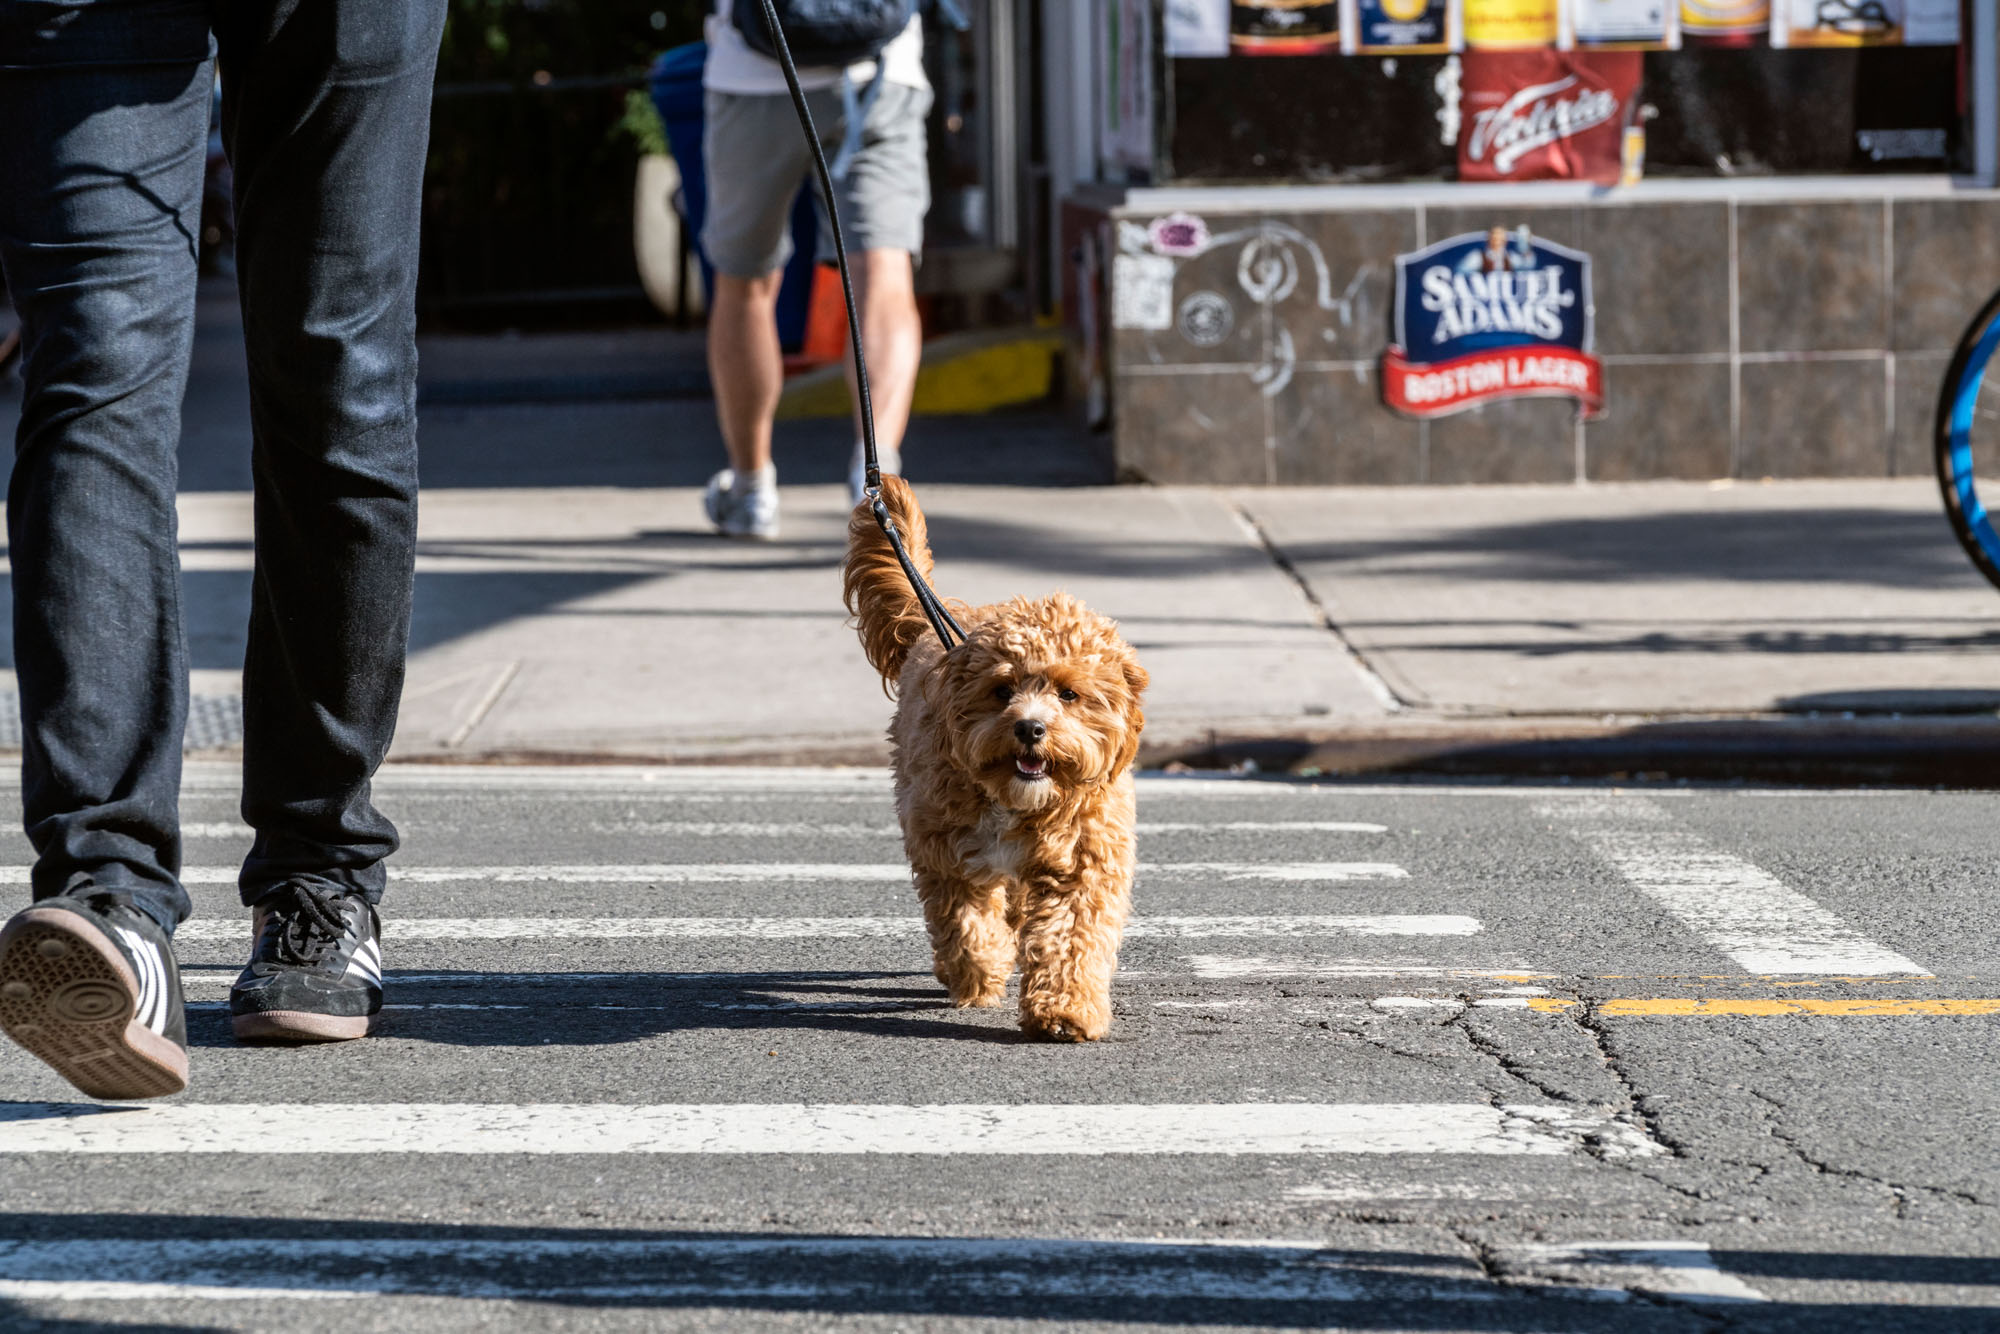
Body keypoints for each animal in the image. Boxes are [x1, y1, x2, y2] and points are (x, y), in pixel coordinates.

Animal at [844, 480, 1152, 1040]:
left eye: (1069, 694)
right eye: (1002, 689)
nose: (1029, 728)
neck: (1017, 802)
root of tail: (942, 621)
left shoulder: (1081, 864)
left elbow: (1071, 937)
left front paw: (1065, 1011)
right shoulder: (946, 852)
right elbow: (965, 923)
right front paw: (980, 974)